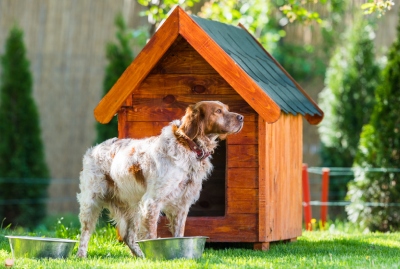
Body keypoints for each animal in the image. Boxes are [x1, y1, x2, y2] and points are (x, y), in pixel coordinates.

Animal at [76, 100, 244, 255]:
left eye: (227, 109)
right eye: (218, 111)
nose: (241, 117)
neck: (189, 147)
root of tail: (93, 150)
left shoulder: (181, 205)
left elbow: (179, 234)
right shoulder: (152, 202)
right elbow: (151, 235)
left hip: (133, 207)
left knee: (128, 236)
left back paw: (140, 256)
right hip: (91, 201)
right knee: (85, 233)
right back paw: (80, 256)